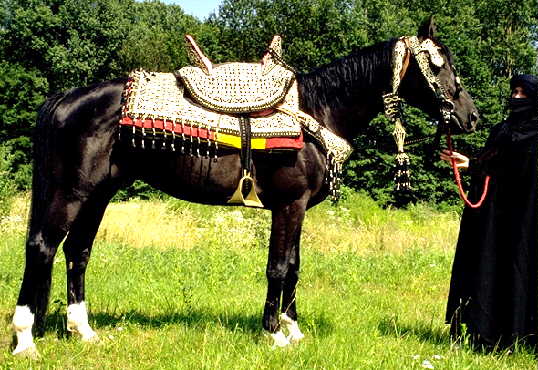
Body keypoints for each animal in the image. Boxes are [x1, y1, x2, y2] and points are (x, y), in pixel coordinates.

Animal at [10, 20, 476, 356]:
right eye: (437, 65)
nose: (469, 116)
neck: (315, 113)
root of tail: (66, 99)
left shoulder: (298, 209)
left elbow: (295, 265)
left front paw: (293, 329)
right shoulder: (289, 205)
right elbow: (279, 267)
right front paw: (274, 334)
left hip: (99, 194)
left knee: (78, 251)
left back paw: (83, 330)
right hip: (71, 192)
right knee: (42, 247)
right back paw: (25, 339)